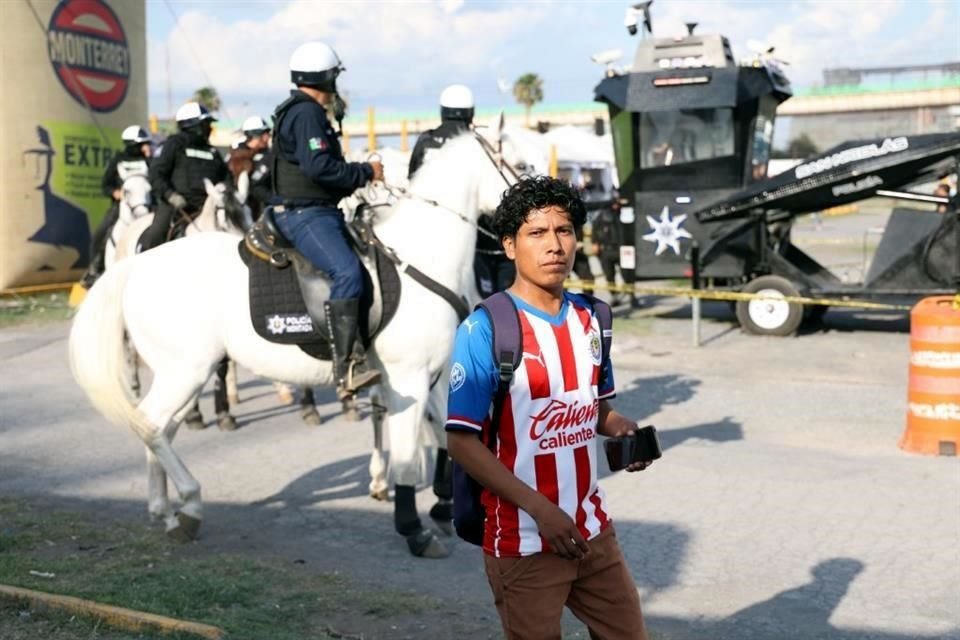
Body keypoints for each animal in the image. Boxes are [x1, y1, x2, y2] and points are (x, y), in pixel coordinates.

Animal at [67, 129, 532, 556]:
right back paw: (191, 506)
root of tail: (136, 265)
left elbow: (446, 441)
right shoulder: (409, 379)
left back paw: (164, 510)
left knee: (160, 428)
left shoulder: (434, 377)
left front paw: (442, 508)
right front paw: (414, 529)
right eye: (521, 166)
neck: (421, 256)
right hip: (186, 371)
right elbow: (406, 455)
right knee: (150, 424)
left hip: (180, 374)